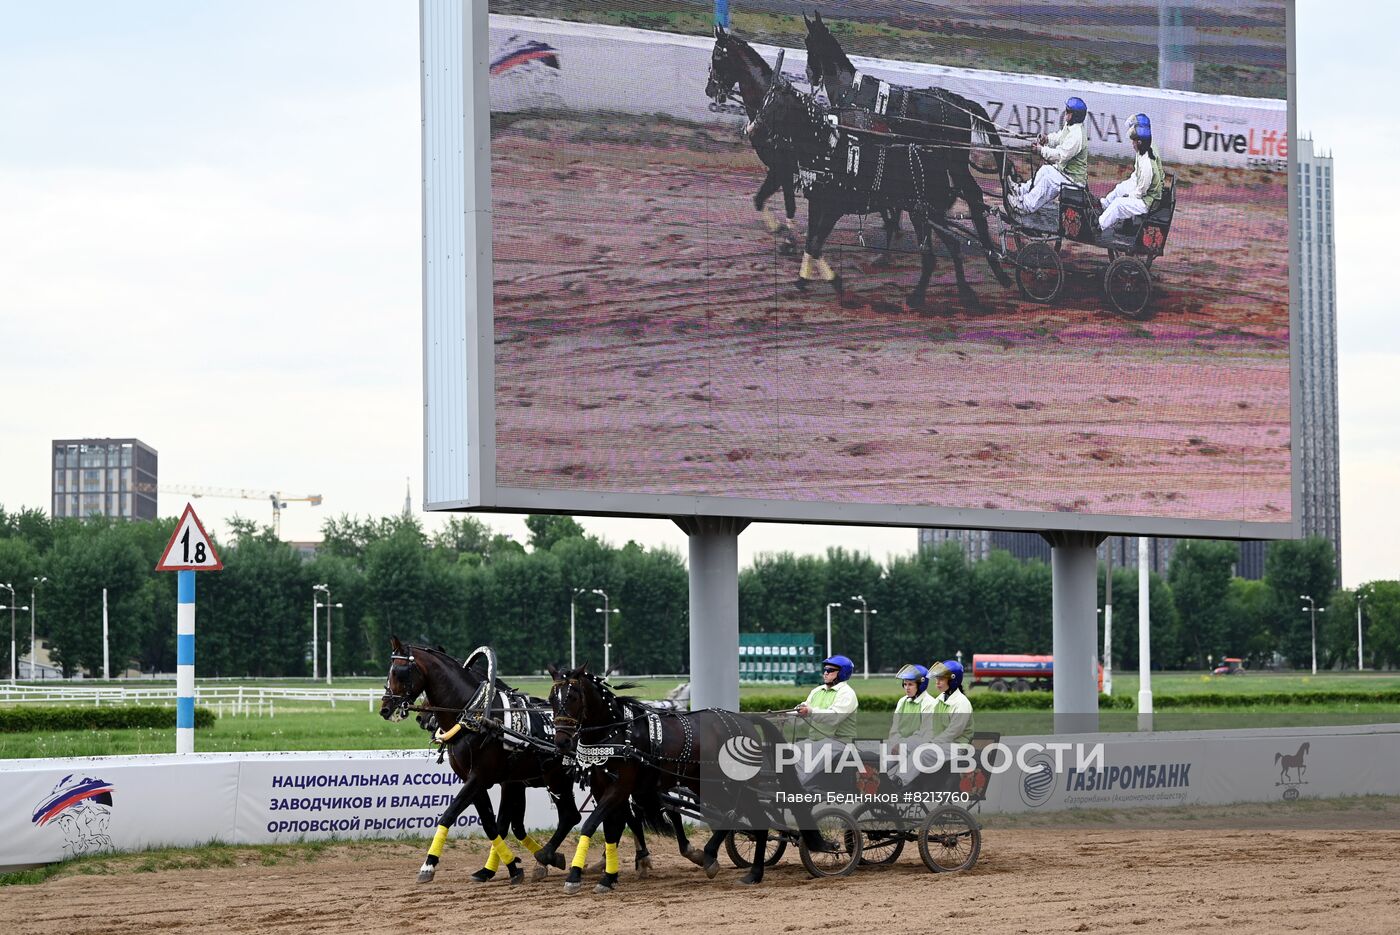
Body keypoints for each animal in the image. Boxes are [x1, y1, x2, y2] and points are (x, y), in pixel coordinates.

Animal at [378, 638, 655, 890]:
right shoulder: (492, 781)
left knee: (575, 815)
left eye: (399, 672)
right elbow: (494, 825)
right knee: (615, 815)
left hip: (559, 777)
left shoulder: (481, 777)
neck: (479, 717)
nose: (385, 708)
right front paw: (503, 867)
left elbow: (452, 814)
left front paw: (428, 865)